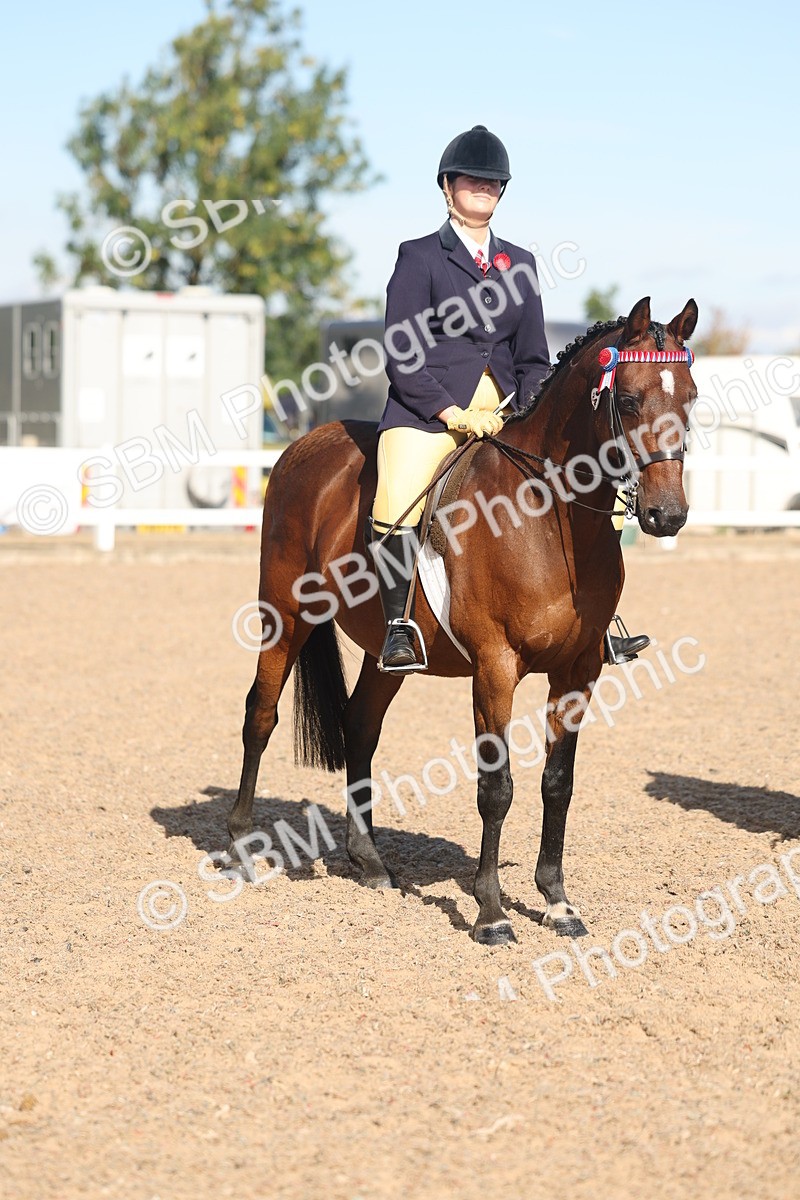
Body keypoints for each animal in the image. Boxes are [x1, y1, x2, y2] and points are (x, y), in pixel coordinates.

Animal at [226, 295, 699, 945]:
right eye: (627, 400)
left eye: (691, 398)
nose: (666, 515)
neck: (546, 516)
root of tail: (305, 444)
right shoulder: (496, 668)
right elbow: (496, 788)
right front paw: (492, 913)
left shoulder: (578, 672)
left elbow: (558, 783)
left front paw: (557, 902)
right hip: (285, 614)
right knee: (261, 715)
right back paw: (242, 848)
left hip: (386, 654)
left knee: (360, 726)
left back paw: (369, 862)